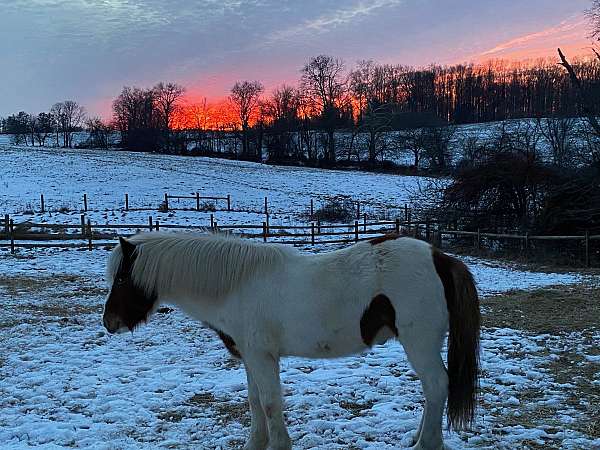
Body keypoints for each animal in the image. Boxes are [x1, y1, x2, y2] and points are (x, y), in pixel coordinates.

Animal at [102, 232, 478, 450]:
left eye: (121, 278)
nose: (109, 323)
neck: (237, 285)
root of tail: (441, 258)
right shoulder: (252, 356)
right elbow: (255, 401)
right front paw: (255, 444)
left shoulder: (263, 356)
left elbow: (270, 403)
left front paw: (279, 444)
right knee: (433, 390)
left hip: (419, 342)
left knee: (436, 385)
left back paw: (425, 444)